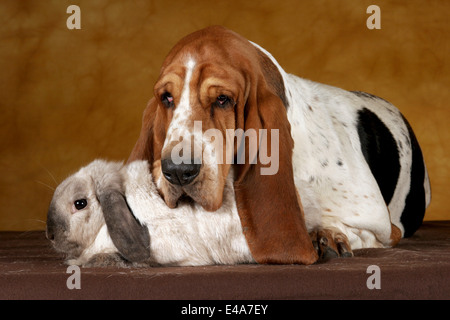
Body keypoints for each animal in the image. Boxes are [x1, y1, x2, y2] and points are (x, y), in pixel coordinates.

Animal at [128, 25, 430, 264]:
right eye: (167, 98)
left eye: (223, 99)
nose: (178, 171)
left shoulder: (384, 226)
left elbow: (357, 232)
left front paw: (327, 236)